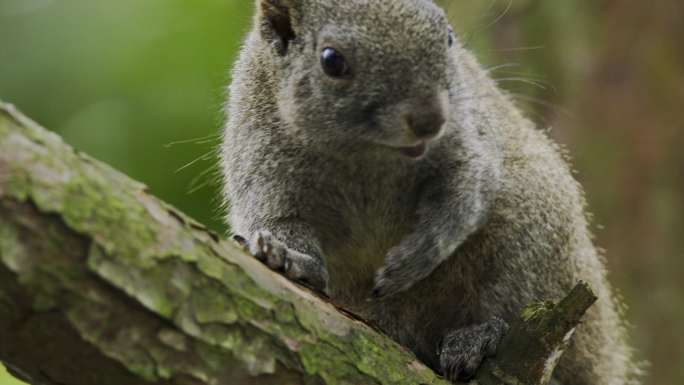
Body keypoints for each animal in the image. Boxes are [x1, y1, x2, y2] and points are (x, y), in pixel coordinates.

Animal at [220, 1, 640, 382]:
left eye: (448, 36)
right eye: (331, 60)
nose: (430, 119)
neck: (370, 156)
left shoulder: (468, 141)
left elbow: (467, 193)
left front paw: (415, 257)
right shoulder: (262, 158)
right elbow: (279, 221)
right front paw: (284, 256)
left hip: (531, 239)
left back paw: (478, 337)